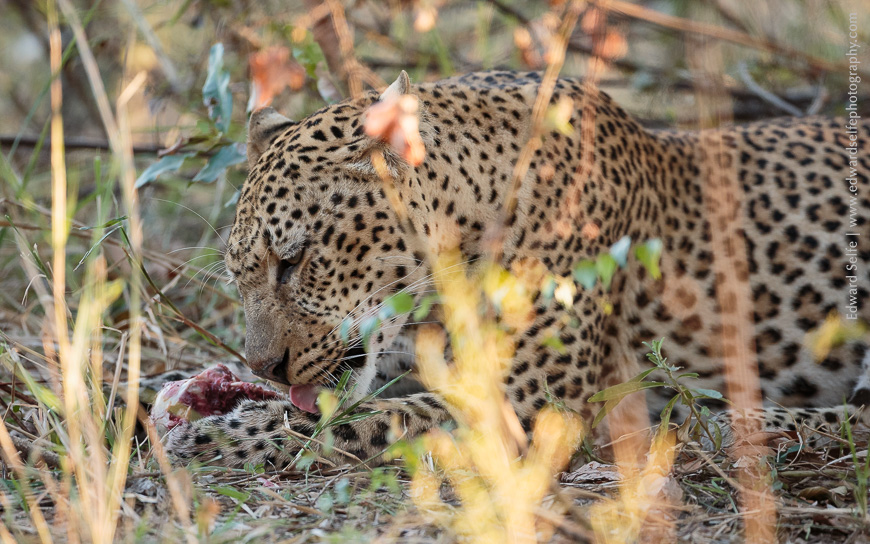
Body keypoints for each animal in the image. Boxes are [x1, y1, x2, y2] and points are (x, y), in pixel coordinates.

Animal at [165, 71, 870, 469]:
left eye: (294, 261)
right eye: (242, 277)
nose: (266, 367)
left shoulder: (534, 396)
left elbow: (370, 420)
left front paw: (222, 436)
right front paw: (188, 392)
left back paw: (737, 425)